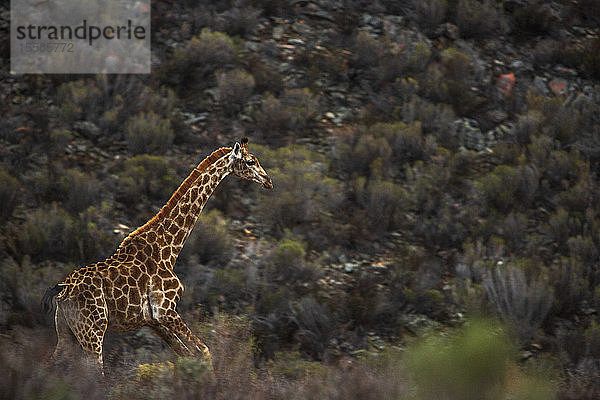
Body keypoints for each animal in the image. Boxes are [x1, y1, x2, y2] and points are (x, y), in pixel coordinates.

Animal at [42, 139, 274, 374]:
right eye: (250, 161)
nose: (268, 181)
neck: (168, 248)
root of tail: (62, 291)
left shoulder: (153, 321)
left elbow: (188, 354)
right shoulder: (165, 310)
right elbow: (204, 351)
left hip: (67, 332)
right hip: (93, 330)